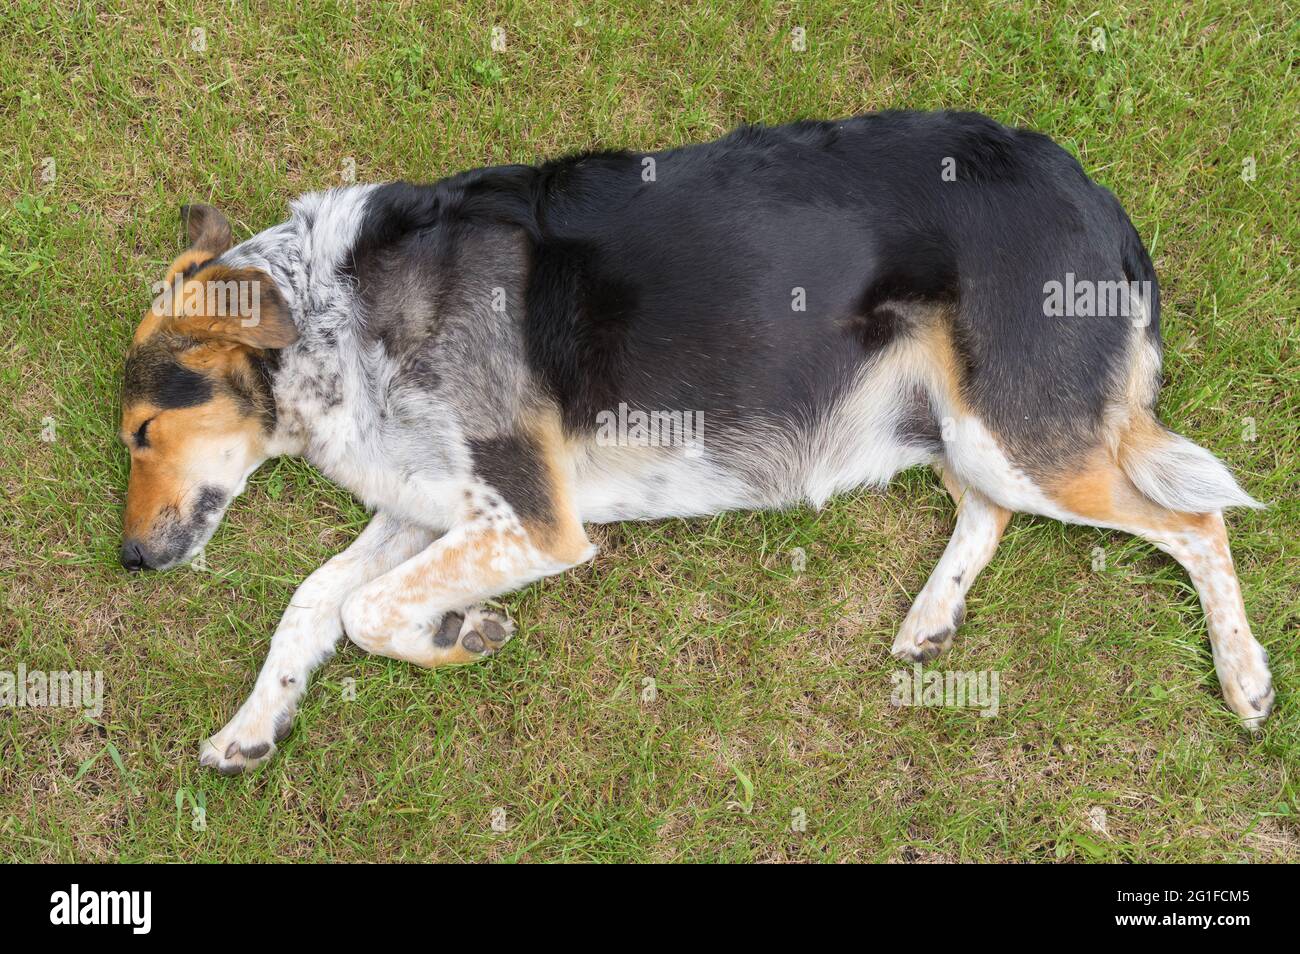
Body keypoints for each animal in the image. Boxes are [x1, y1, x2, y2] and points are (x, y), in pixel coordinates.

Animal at [116, 110, 1274, 779]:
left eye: (140, 432)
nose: (127, 560)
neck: (331, 315)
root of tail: (1094, 194)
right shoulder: (433, 503)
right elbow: (314, 601)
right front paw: (253, 726)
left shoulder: (533, 522)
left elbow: (362, 611)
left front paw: (464, 635)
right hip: (961, 425)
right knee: (988, 509)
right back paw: (929, 620)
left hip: (1021, 433)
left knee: (1196, 519)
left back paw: (1246, 679)